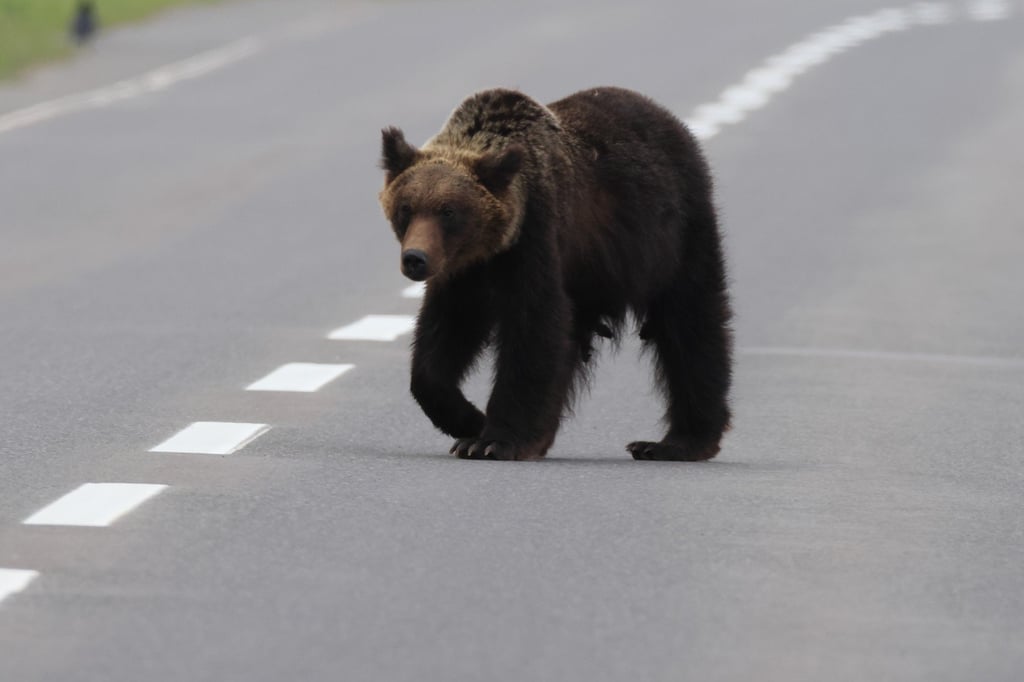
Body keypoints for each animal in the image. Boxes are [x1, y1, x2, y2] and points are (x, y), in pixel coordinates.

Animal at [378, 87, 732, 461]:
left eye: (449, 211)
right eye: (406, 208)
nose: (415, 259)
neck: (490, 250)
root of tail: (667, 117)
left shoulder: (536, 240)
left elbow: (533, 329)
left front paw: (492, 439)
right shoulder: (463, 274)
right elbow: (442, 338)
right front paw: (468, 421)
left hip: (673, 237)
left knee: (691, 325)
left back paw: (675, 442)